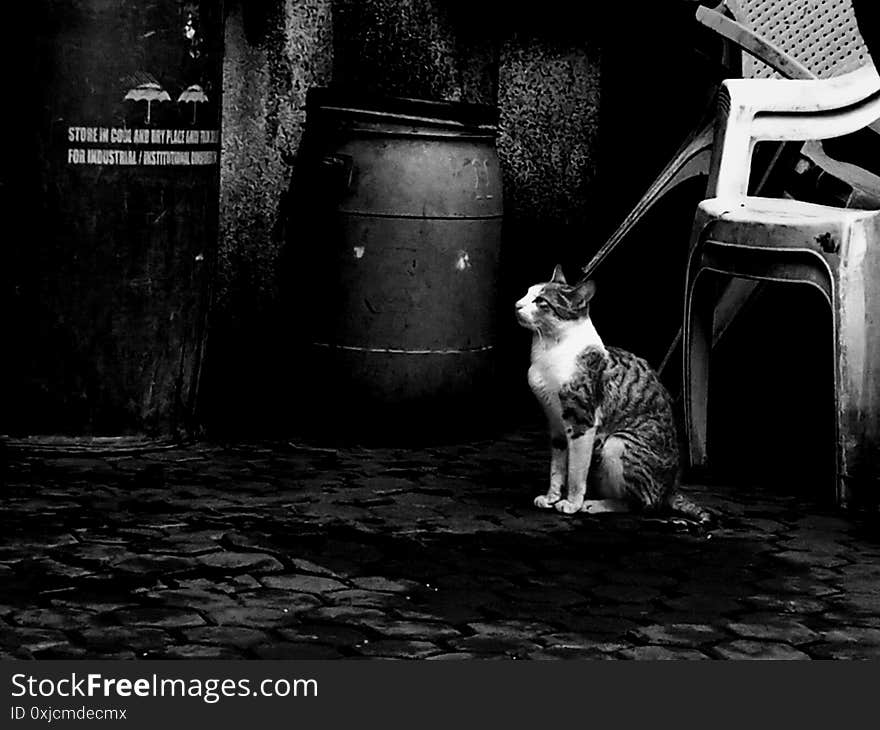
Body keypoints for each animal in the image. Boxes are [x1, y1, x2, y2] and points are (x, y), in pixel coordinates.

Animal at [516, 264, 708, 524]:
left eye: (541, 301)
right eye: (527, 293)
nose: (517, 304)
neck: (547, 349)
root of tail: (671, 490)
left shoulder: (581, 423)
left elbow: (576, 471)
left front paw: (571, 503)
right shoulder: (556, 424)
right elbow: (557, 469)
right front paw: (551, 497)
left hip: (617, 444)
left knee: (643, 504)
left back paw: (595, 505)